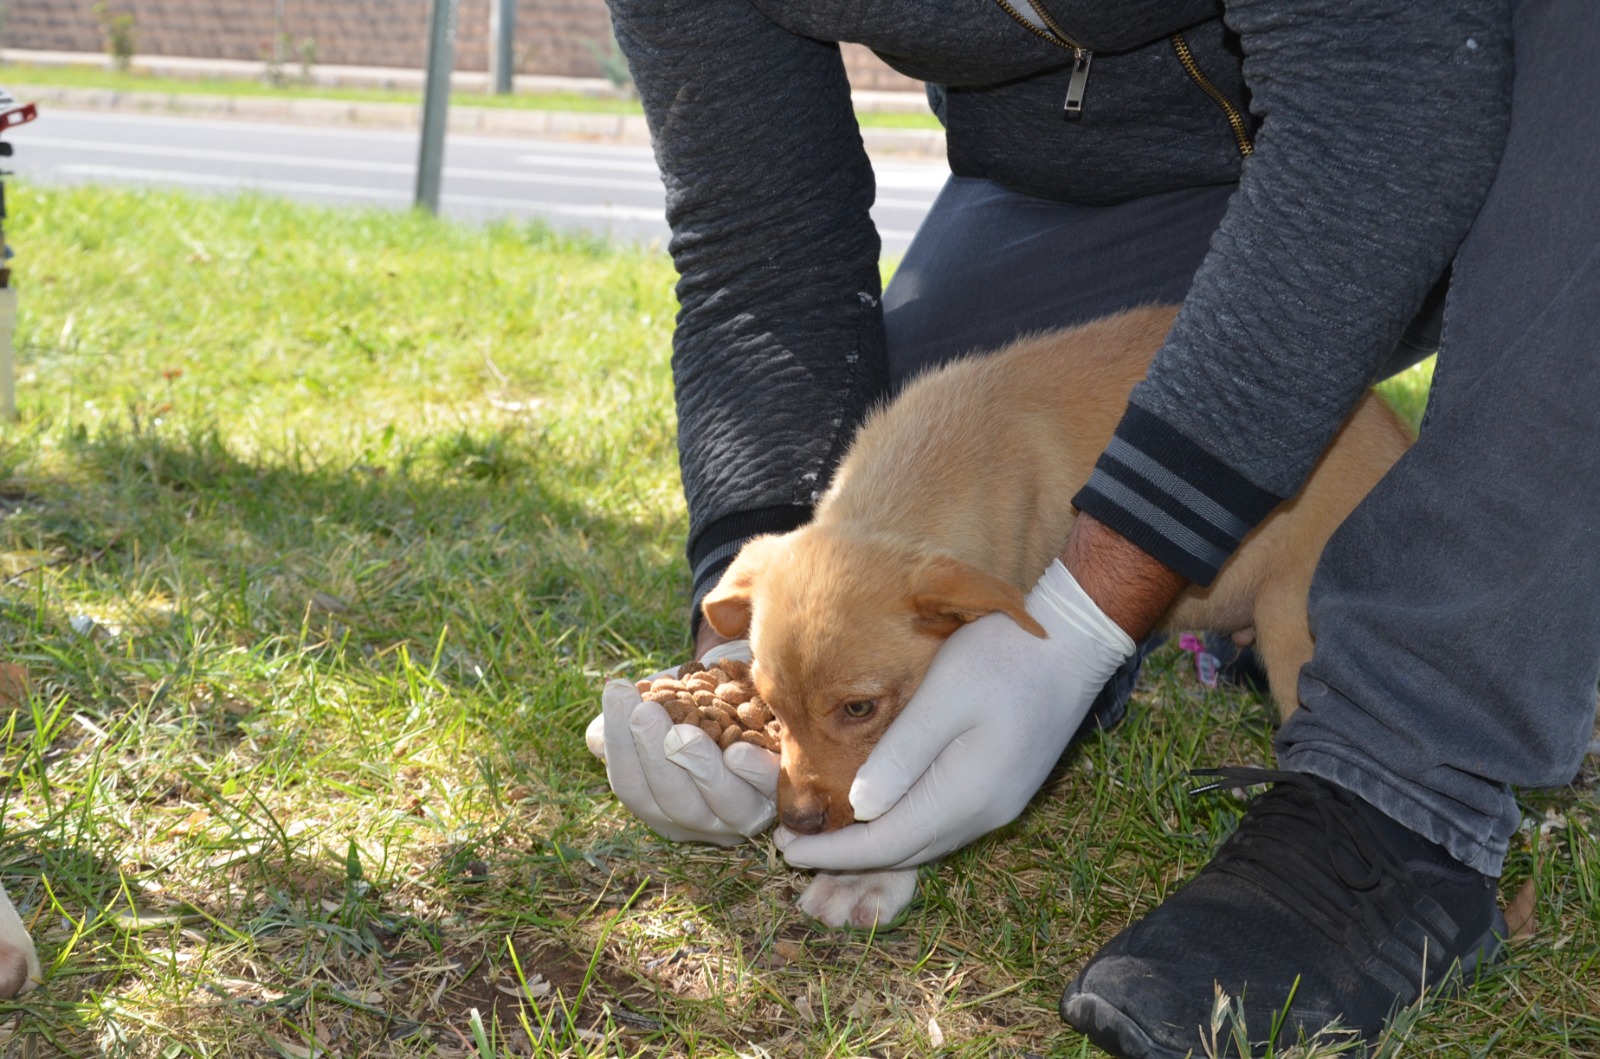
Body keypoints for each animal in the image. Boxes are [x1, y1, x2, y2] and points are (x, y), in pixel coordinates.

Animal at [700, 305, 1414, 927]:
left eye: (859, 708)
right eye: (769, 705)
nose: (798, 823)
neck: (910, 487)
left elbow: (901, 806)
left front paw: (871, 876)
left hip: (1295, 625)